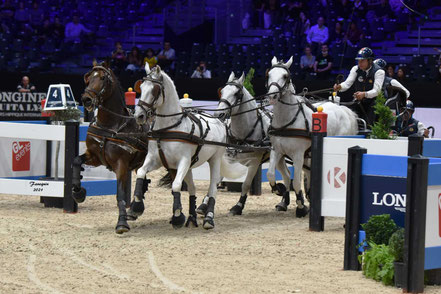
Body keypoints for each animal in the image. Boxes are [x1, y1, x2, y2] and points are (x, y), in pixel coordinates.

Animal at [71, 60, 149, 233]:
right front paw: (78, 193)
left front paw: (121, 222)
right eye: (88, 77)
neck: (111, 125)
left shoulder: (121, 164)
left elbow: (120, 194)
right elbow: (76, 161)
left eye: (103, 78)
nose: (86, 99)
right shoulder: (95, 156)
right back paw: (136, 208)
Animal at [133, 64, 241, 230]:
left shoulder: (183, 161)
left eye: (155, 90)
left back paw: (208, 218)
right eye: (141, 87)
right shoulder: (155, 160)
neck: (168, 129)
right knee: (192, 189)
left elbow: (176, 185)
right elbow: (140, 172)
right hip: (189, 167)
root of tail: (219, 120)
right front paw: (136, 207)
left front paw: (177, 217)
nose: (139, 115)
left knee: (213, 186)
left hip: (214, 159)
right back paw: (191, 217)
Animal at [213, 71, 292, 214]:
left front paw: (238, 206)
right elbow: (216, 180)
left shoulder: (254, 162)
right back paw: (284, 202)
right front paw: (203, 206)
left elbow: (246, 184)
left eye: (236, 94)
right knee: (287, 175)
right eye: (222, 91)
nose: (219, 114)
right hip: (279, 157)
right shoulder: (228, 158)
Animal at [264, 56, 358, 216]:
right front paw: (279, 189)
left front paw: (301, 208)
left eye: (285, 76)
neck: (287, 120)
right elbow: (270, 174)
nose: (272, 96)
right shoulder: (277, 150)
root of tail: (344, 110)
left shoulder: (298, 154)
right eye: (269, 74)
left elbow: (296, 182)